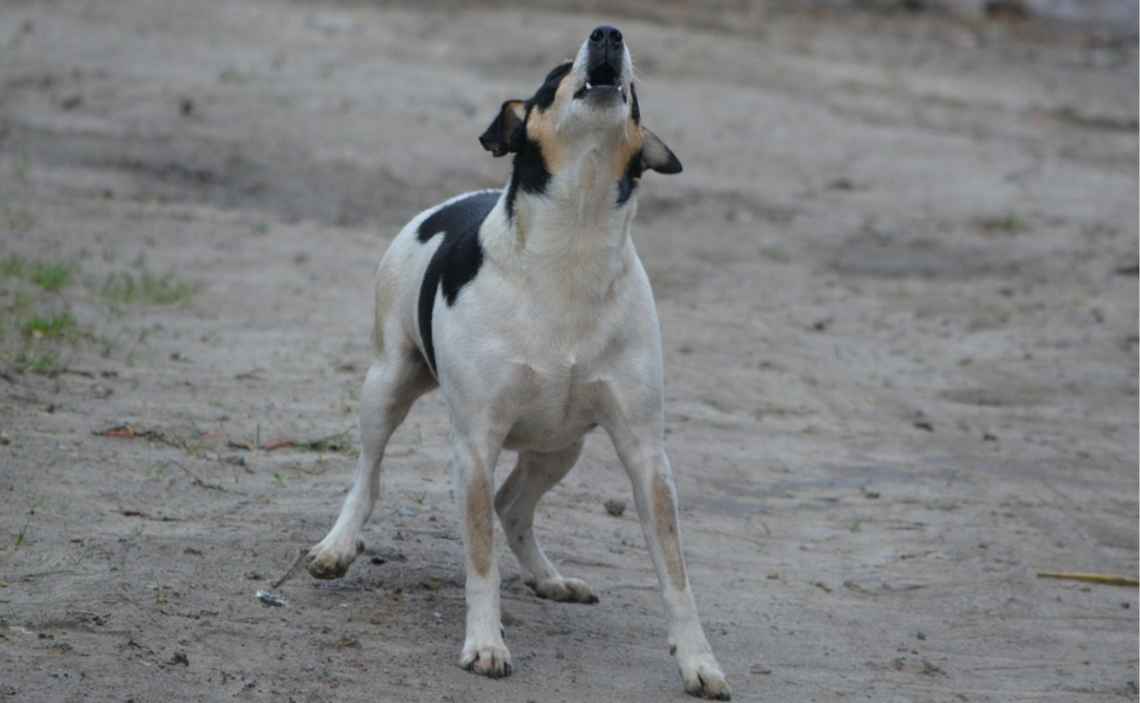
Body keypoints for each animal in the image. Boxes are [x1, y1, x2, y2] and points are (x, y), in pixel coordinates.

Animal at [303, 24, 729, 697]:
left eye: (635, 92)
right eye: (555, 75)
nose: (608, 33)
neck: (573, 245)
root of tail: (452, 202)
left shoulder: (645, 452)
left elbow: (676, 573)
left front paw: (698, 661)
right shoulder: (476, 444)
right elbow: (480, 559)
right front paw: (485, 644)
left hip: (561, 446)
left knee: (514, 506)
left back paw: (549, 576)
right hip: (386, 386)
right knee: (368, 477)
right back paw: (337, 546)